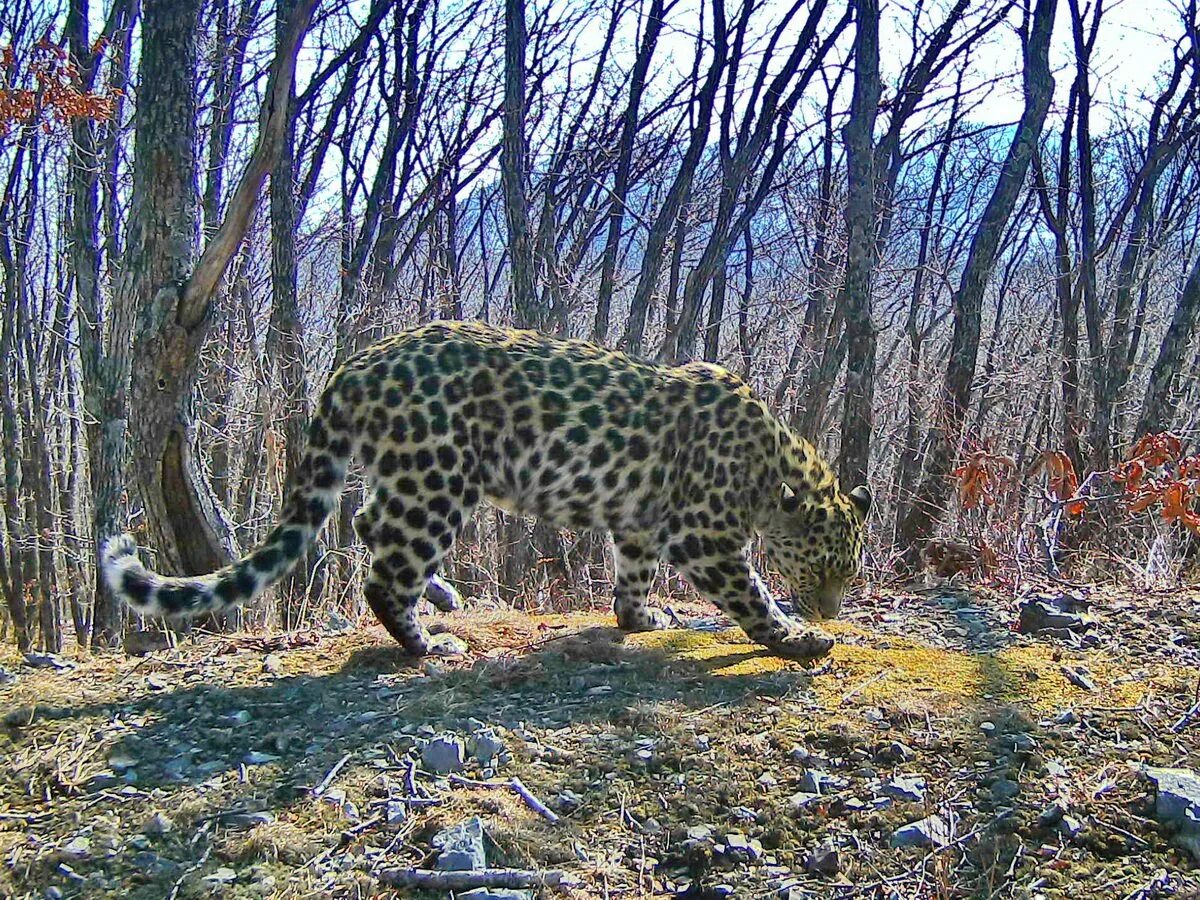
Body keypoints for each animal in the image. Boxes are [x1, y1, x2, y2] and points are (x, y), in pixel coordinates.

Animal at [100, 321, 873, 662]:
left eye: (849, 571)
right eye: (822, 570)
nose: (832, 609)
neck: (774, 467)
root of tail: (358, 361)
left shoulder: (640, 522)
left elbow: (633, 573)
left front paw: (639, 618)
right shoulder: (705, 535)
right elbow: (751, 593)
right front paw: (798, 637)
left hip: (413, 476)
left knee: (370, 524)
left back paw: (442, 596)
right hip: (437, 479)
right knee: (384, 571)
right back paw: (427, 642)